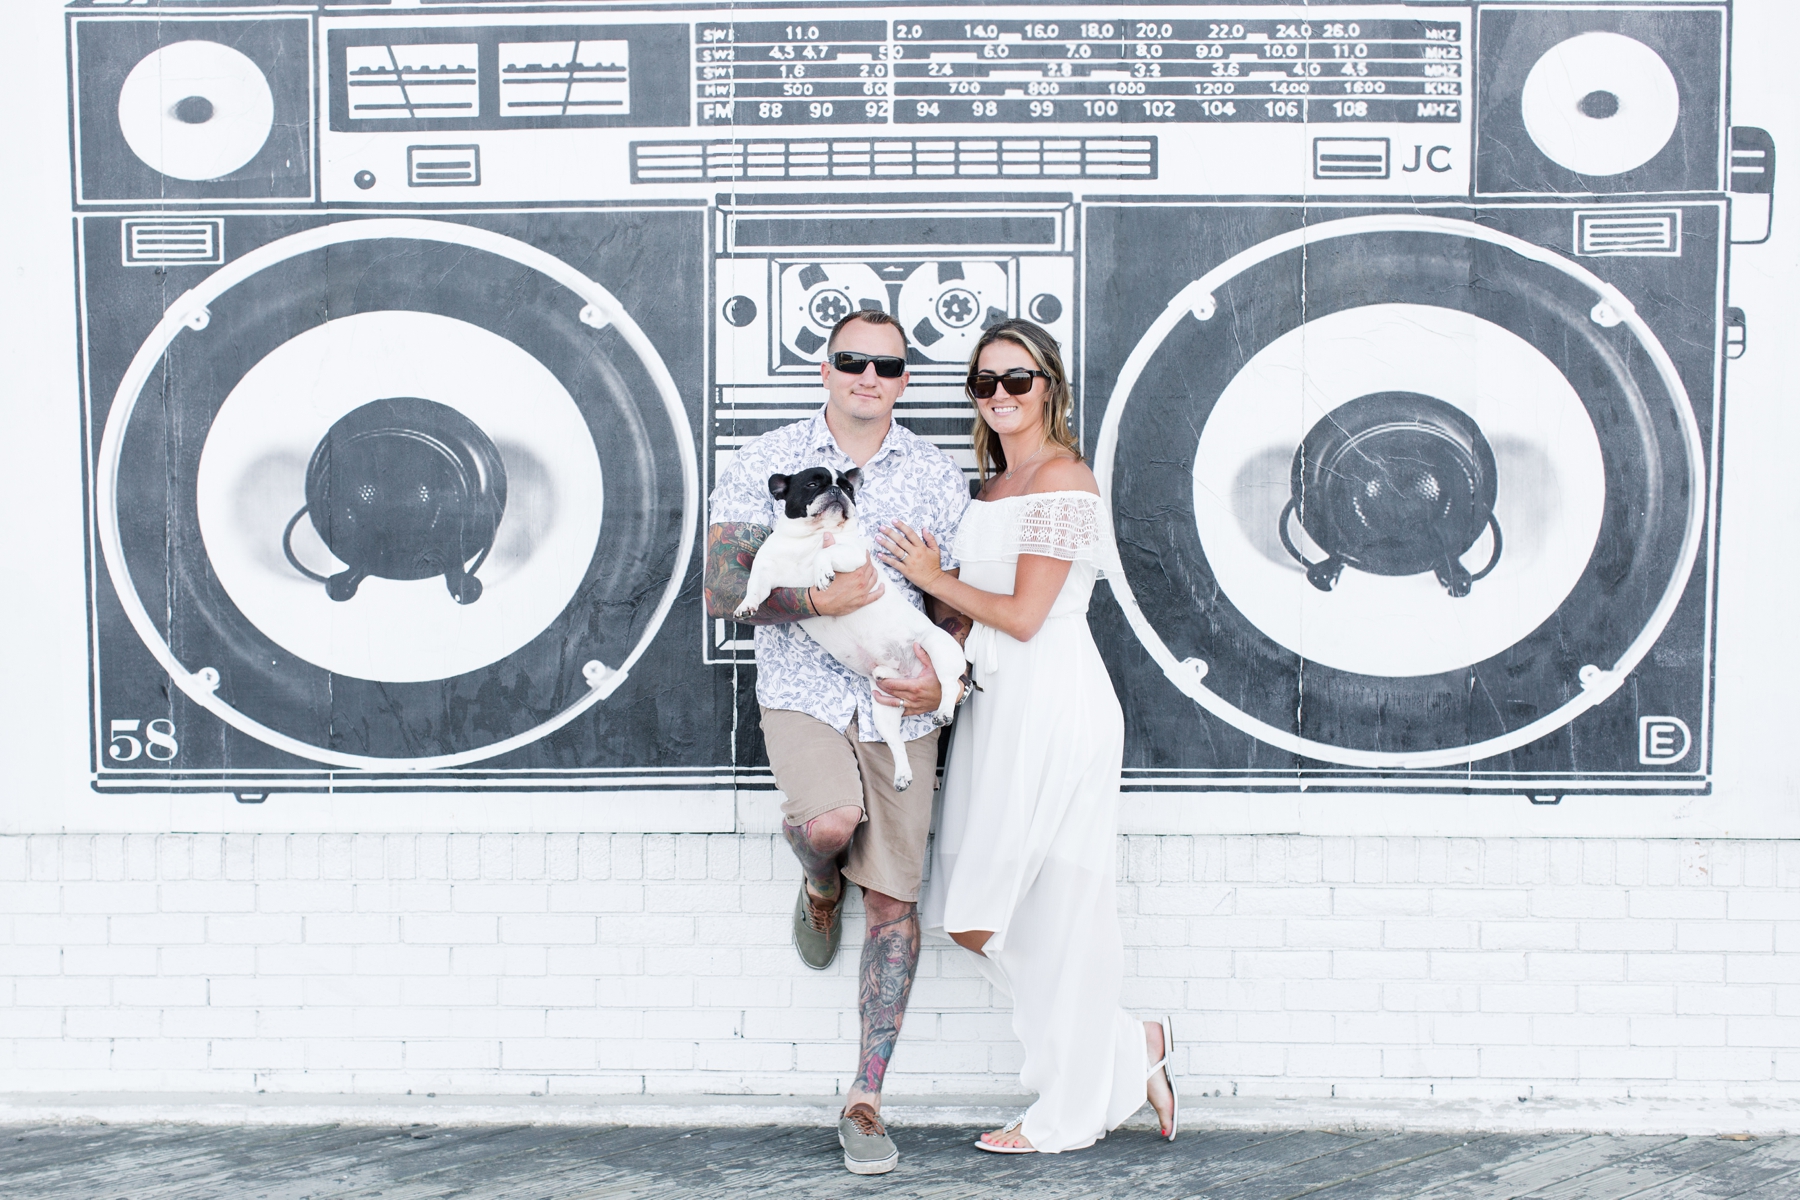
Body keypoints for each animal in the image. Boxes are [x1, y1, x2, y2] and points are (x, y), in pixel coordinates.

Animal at [734, 467, 972, 788]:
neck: (809, 536)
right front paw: (746, 605)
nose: (837, 490)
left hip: (939, 649)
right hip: (884, 708)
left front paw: (822, 572)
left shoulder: (853, 557)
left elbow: (825, 555)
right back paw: (902, 775)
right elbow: (755, 588)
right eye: (812, 483)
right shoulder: (767, 572)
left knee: (947, 684)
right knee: (896, 742)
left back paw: (944, 712)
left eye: (848, 488)